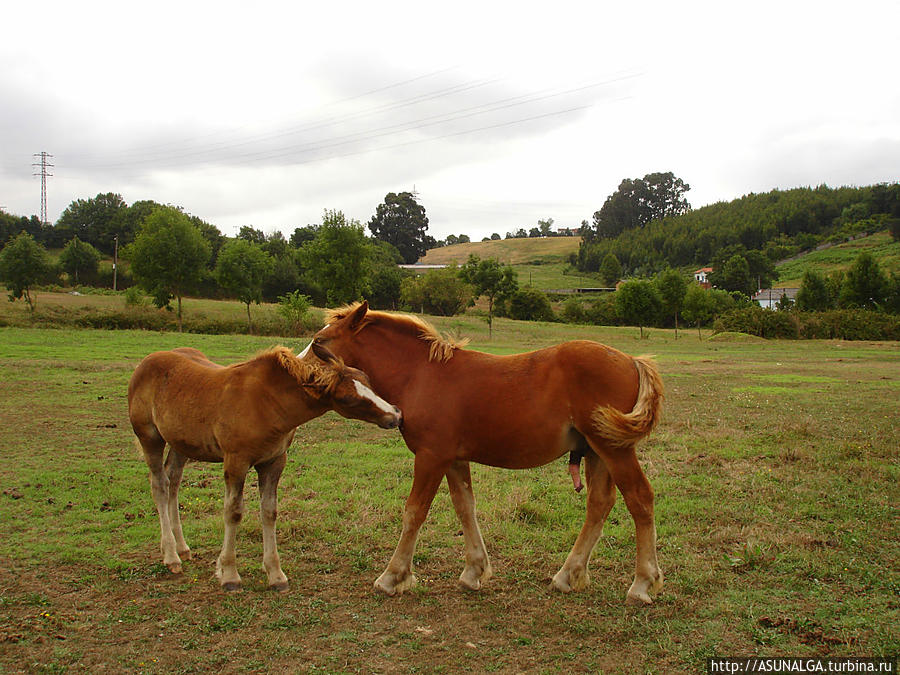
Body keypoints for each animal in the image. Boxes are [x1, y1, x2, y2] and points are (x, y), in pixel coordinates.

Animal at [129, 344, 400, 592]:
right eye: (348, 399)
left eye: (367, 379)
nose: (395, 415)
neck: (266, 403)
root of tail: (146, 362)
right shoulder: (236, 461)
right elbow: (233, 512)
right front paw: (229, 574)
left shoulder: (274, 461)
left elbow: (269, 512)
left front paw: (275, 574)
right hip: (149, 437)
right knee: (160, 485)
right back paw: (171, 556)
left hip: (181, 444)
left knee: (173, 481)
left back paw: (183, 548)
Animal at [312, 304, 664, 604]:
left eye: (319, 344)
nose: (306, 378)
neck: (420, 375)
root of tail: (632, 360)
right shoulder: (453, 459)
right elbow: (465, 507)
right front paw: (473, 572)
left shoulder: (430, 456)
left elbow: (415, 511)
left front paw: (392, 576)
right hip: (596, 451)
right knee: (600, 504)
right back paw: (567, 575)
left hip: (614, 449)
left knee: (640, 498)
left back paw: (642, 584)